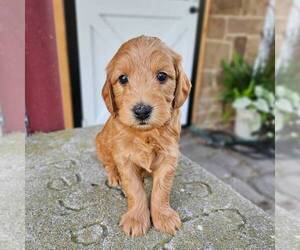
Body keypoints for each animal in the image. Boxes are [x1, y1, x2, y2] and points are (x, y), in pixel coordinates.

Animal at [95, 35, 191, 236]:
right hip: (101, 144)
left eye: (162, 76)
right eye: (123, 78)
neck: (146, 133)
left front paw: (164, 216)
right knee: (108, 164)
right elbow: (134, 188)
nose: (141, 111)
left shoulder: (169, 156)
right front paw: (136, 218)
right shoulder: (124, 157)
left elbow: (162, 189)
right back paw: (115, 177)